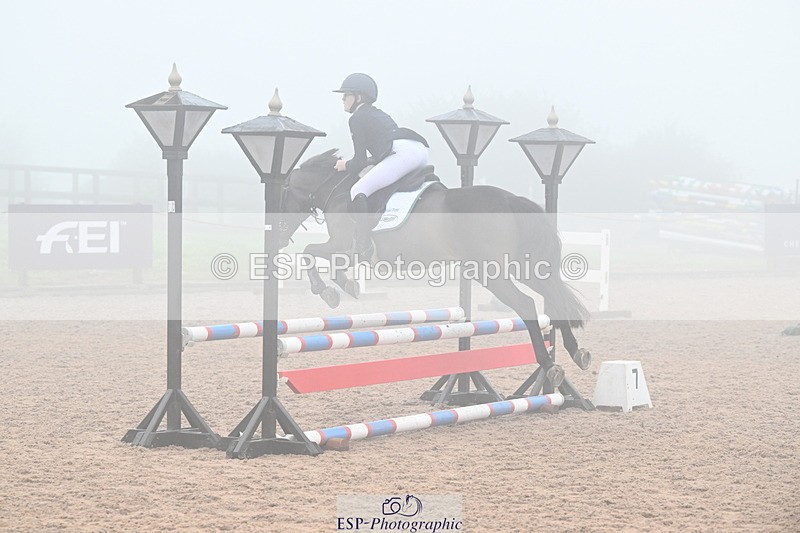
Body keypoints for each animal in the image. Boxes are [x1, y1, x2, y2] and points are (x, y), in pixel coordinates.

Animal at [278, 149, 591, 372]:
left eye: (281, 196)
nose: (279, 236)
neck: (336, 188)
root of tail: (510, 200)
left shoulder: (343, 245)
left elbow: (309, 252)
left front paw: (329, 290)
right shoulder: (347, 250)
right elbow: (326, 260)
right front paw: (344, 285)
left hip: (491, 273)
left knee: (526, 304)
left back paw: (548, 363)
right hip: (526, 266)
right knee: (554, 298)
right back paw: (576, 352)